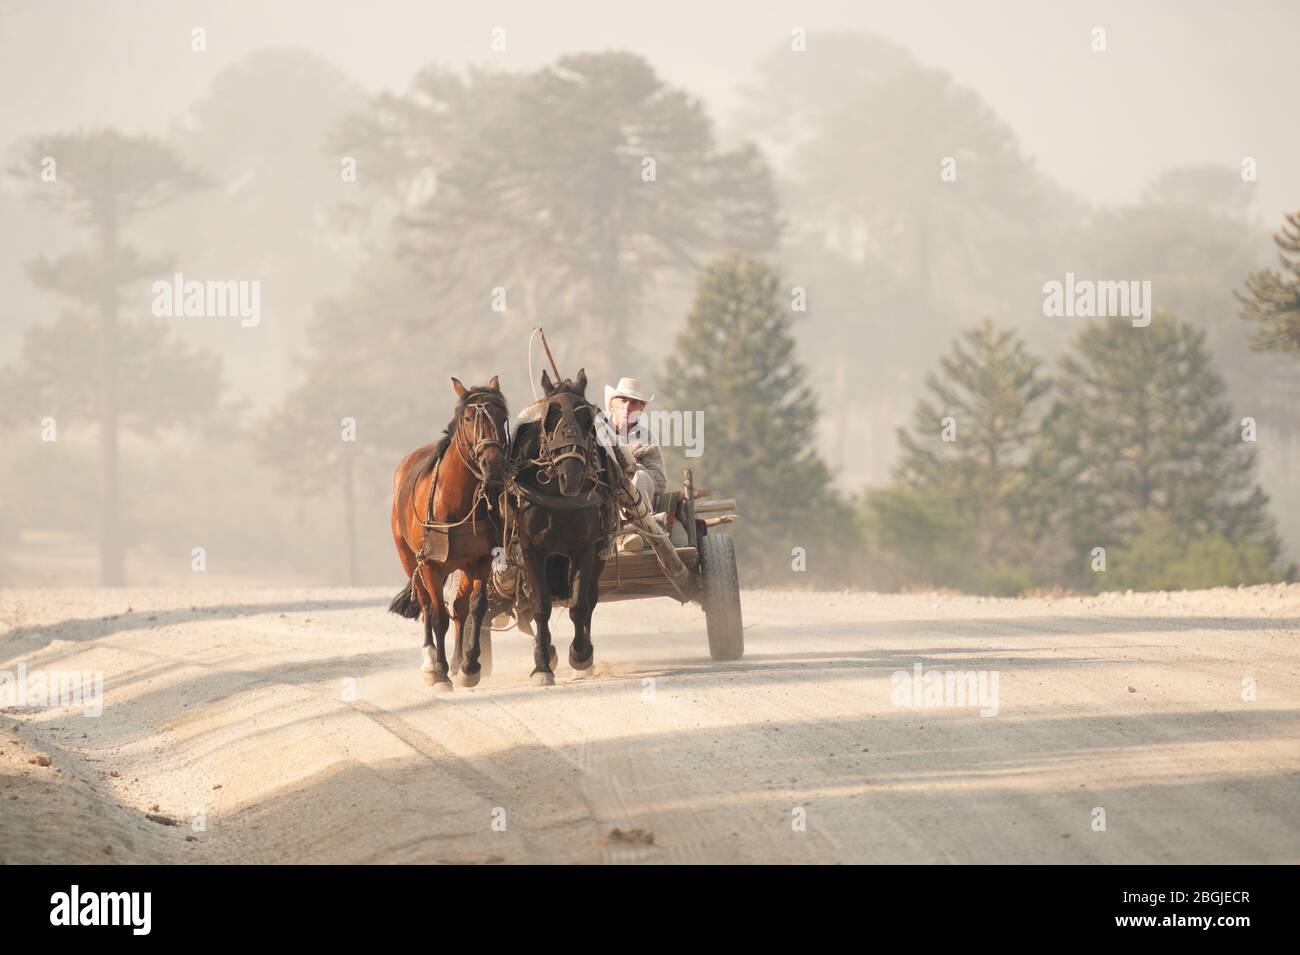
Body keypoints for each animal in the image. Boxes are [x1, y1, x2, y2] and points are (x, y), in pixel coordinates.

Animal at [390, 376, 509, 692]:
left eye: (502, 416)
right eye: (468, 418)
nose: (493, 463)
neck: (456, 498)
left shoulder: (480, 561)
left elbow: (476, 608)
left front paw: (469, 667)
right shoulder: (430, 564)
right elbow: (437, 615)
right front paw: (440, 672)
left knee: (459, 607)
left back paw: (457, 661)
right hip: (409, 557)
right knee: (426, 604)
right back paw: (432, 662)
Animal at [507, 368, 613, 686]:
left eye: (586, 418)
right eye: (550, 416)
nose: (571, 475)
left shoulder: (586, 548)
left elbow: (579, 604)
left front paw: (580, 654)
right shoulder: (531, 551)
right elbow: (540, 606)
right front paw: (542, 665)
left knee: (590, 598)